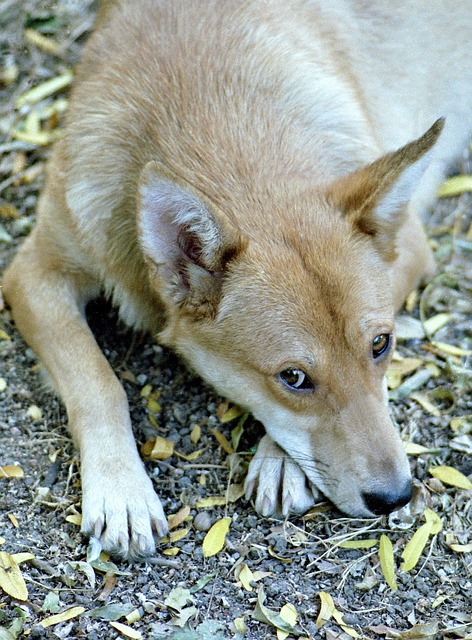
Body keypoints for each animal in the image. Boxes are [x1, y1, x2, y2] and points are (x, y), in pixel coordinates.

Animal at [4, 0, 472, 556]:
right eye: (293, 378)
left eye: (381, 345)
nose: (396, 497)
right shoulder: (35, 272)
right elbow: (97, 380)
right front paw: (122, 488)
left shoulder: (414, 245)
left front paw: (279, 461)